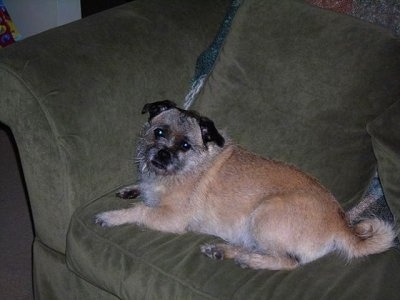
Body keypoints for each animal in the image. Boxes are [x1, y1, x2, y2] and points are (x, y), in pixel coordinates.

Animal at [95, 100, 396, 270]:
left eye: (185, 146)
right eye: (159, 132)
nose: (163, 154)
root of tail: (342, 225)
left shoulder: (170, 218)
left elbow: (140, 211)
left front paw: (112, 216)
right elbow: (143, 193)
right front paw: (133, 189)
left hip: (264, 214)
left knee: (288, 262)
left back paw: (250, 261)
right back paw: (221, 250)